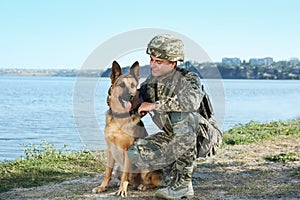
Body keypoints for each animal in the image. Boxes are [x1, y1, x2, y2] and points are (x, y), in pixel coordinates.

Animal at [92, 61, 163, 197]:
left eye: (133, 85)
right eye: (121, 85)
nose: (130, 96)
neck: (120, 117)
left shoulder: (127, 150)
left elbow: (126, 174)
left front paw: (122, 190)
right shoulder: (110, 149)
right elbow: (107, 171)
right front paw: (103, 187)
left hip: (145, 167)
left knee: (157, 183)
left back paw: (144, 186)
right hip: (118, 169)